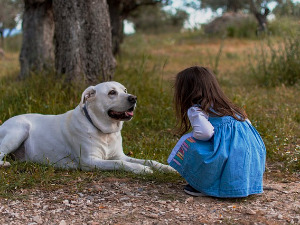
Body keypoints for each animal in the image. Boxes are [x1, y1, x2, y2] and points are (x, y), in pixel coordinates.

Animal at [0, 81, 173, 174]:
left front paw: (166, 167)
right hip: (19, 130)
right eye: (112, 92)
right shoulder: (90, 161)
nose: (134, 98)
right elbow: (120, 164)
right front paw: (141, 169)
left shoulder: (120, 155)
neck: (105, 132)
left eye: (124, 90)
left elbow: (149, 160)